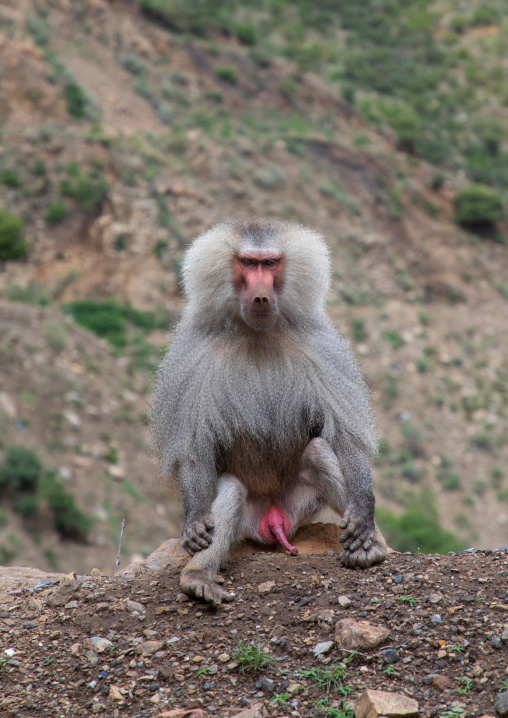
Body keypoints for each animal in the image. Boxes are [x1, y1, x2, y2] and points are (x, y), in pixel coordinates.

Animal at [152, 218, 387, 606]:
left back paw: (372, 548)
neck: (257, 333)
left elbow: (345, 436)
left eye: (271, 263)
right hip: (249, 520)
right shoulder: (194, 355)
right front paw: (195, 521)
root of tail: (273, 519)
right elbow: (193, 446)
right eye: (248, 262)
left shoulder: (319, 346)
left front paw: (364, 517)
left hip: (299, 507)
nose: (261, 296)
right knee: (232, 490)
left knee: (319, 451)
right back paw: (198, 577)